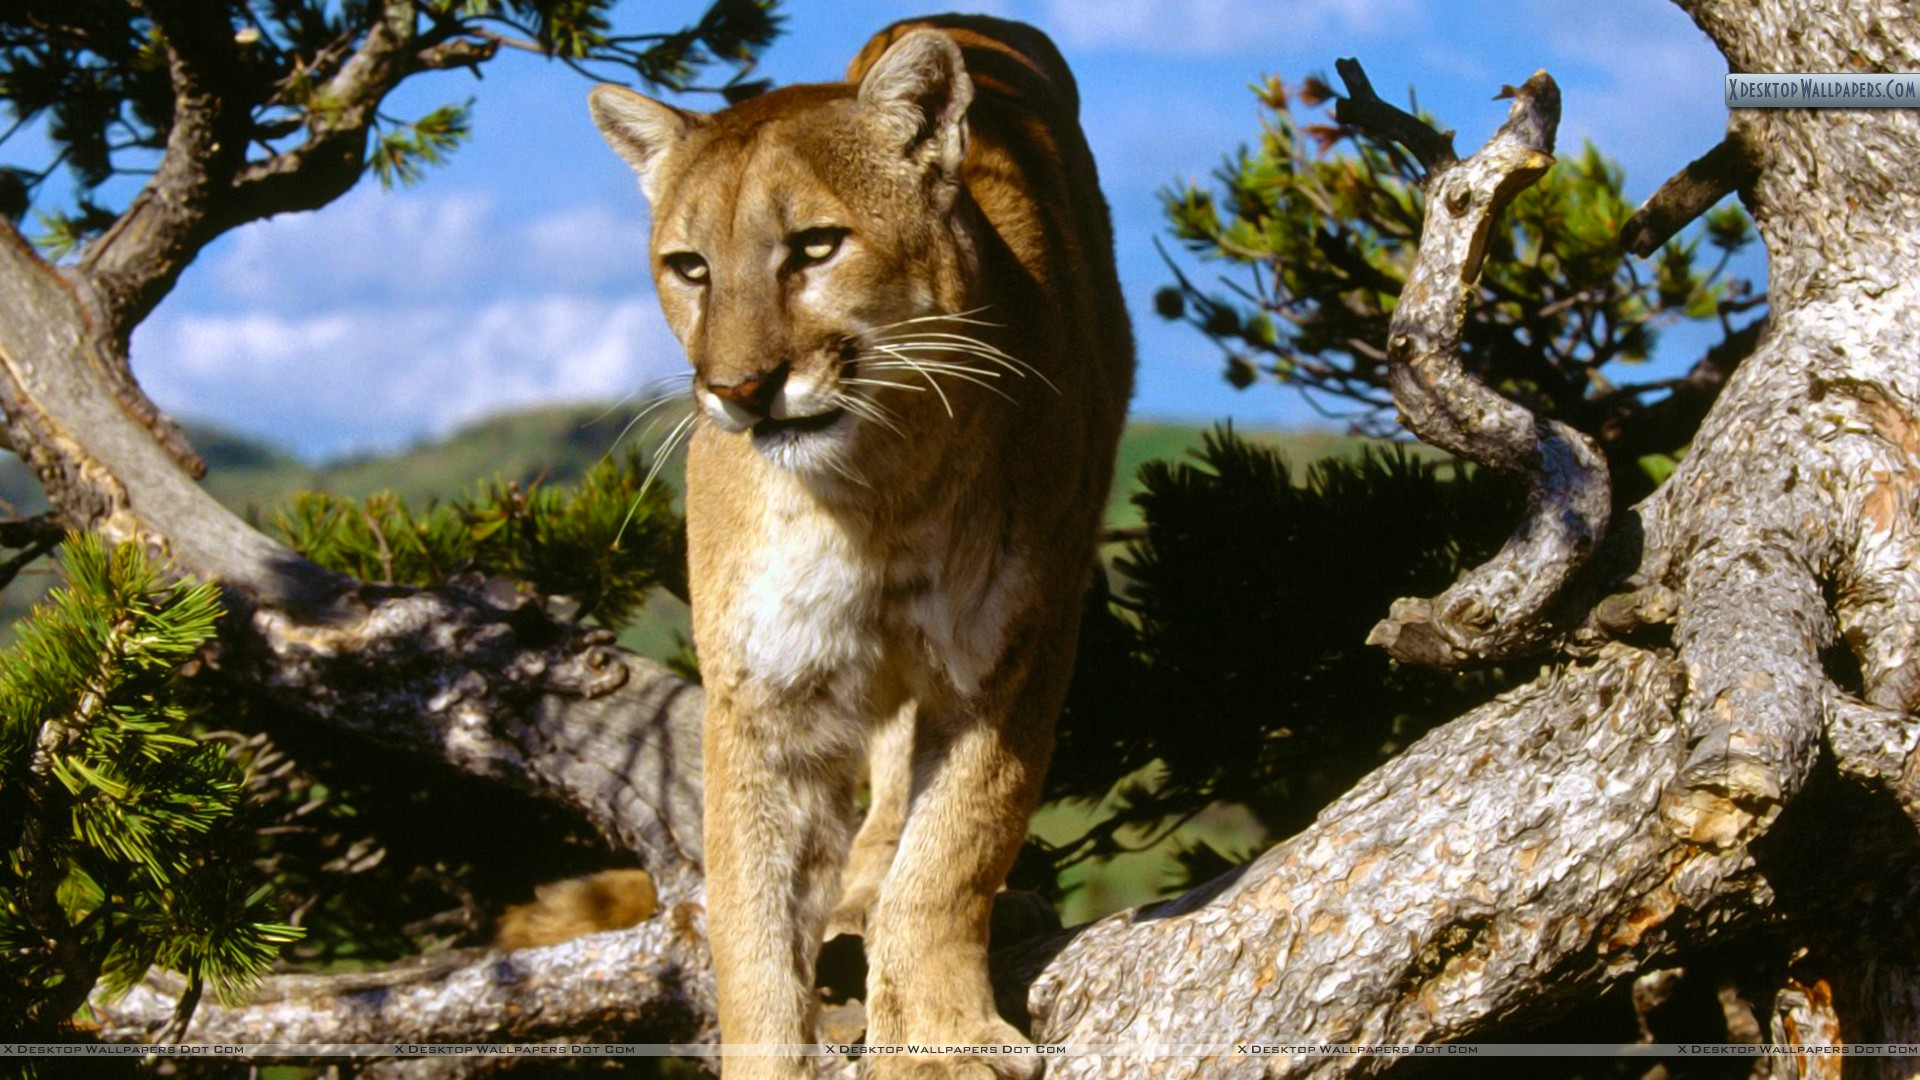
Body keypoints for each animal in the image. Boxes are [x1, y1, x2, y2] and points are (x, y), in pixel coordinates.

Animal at [589, 14, 1132, 1077]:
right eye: (690, 266)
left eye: (816, 246)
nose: (740, 388)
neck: (875, 493)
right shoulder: (766, 694)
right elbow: (751, 925)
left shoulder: (1014, 652)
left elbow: (955, 847)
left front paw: (939, 1034)